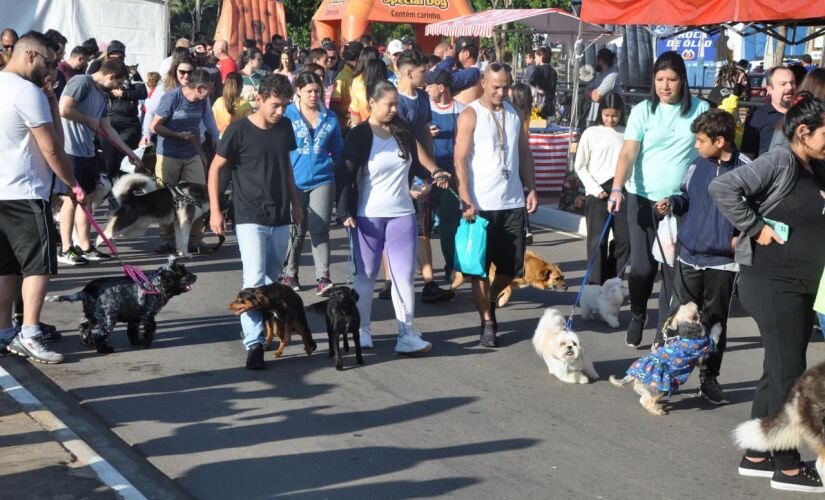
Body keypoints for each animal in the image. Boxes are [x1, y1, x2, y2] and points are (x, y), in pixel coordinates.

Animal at [47, 258, 197, 352]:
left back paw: (87, 343)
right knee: (99, 336)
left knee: (84, 327)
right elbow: (150, 330)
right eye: (182, 272)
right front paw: (146, 343)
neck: (155, 283)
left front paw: (137, 342)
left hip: (92, 316)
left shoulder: (135, 318)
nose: (195, 276)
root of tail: (86, 290)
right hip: (108, 319)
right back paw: (105, 349)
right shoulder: (148, 315)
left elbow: (132, 332)